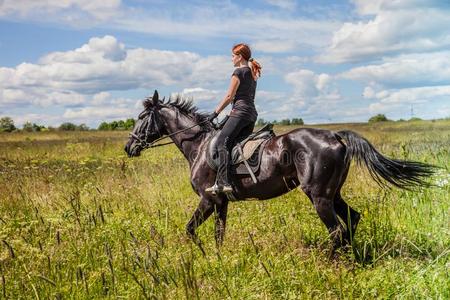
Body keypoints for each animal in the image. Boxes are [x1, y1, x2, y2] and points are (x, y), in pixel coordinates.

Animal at [125, 90, 434, 250]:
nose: (129, 147)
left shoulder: (208, 198)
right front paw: (217, 258)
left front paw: (199, 254)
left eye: (141, 117)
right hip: (333, 193)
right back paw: (350, 257)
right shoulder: (221, 202)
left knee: (336, 230)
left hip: (318, 196)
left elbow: (190, 229)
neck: (199, 145)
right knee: (352, 219)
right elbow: (218, 234)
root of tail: (334, 135)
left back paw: (329, 262)